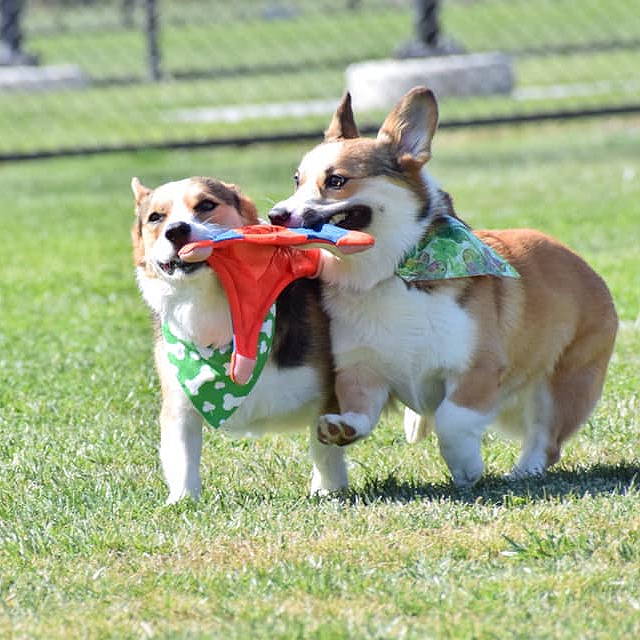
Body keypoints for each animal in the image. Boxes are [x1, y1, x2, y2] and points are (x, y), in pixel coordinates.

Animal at [131, 176, 351, 502]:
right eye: (156, 217)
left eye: (206, 205)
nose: (177, 230)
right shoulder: (180, 400)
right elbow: (182, 454)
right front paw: (182, 500)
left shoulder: (328, 394)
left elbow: (325, 445)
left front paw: (328, 489)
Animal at [268, 87, 618, 487]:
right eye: (296, 180)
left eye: (337, 181)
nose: (275, 215)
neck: (391, 272)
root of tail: (587, 268)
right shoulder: (361, 371)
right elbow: (358, 415)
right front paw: (341, 429)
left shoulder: (476, 371)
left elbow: (453, 420)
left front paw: (467, 469)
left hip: (562, 385)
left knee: (547, 439)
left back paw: (522, 471)